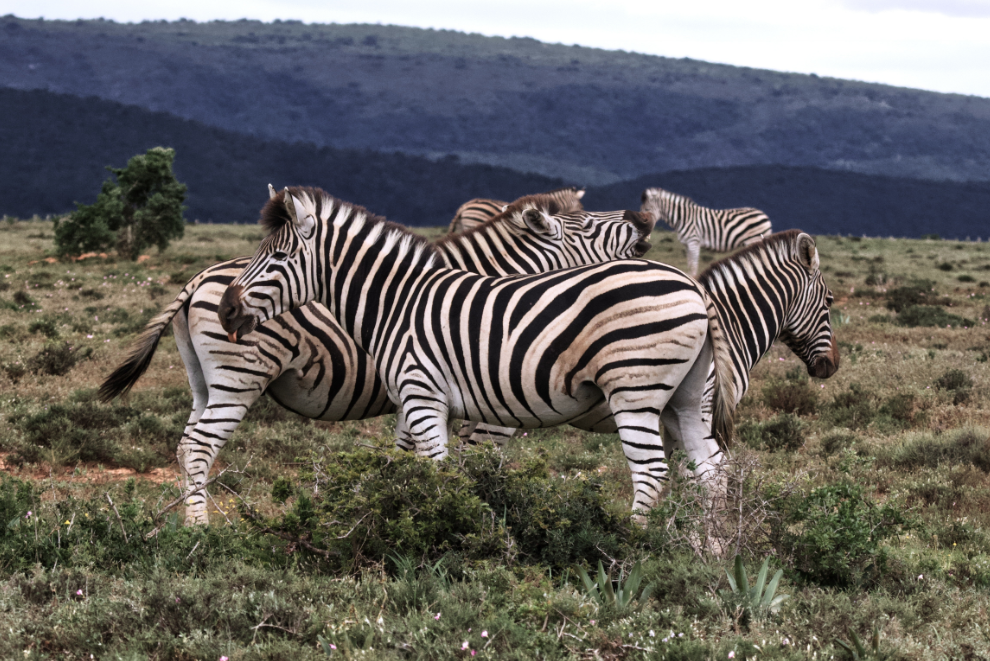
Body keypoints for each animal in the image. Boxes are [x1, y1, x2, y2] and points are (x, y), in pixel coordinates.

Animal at [644, 186, 776, 276]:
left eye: (646, 209)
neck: (683, 218)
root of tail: (764, 215)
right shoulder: (687, 244)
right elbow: (690, 265)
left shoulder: (694, 241)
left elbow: (693, 266)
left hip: (754, 239)